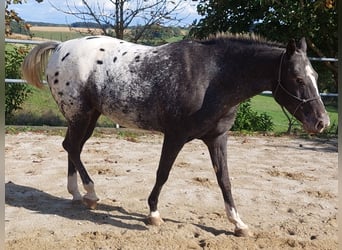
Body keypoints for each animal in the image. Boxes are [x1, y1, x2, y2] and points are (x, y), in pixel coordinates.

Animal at [20, 33, 328, 236]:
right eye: (298, 79)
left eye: (315, 77)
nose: (322, 122)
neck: (212, 78)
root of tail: (61, 46)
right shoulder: (175, 136)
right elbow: (163, 174)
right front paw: (154, 214)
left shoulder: (217, 138)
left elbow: (225, 180)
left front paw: (239, 224)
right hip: (81, 114)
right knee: (72, 146)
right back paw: (91, 194)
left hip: (89, 117)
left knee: (72, 147)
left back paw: (77, 194)